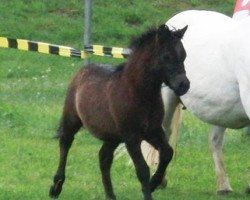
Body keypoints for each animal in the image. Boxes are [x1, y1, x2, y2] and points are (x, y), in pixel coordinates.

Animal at [142, 10, 250, 195]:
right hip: (167, 100)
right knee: (164, 133)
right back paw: (160, 180)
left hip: (219, 111)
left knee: (214, 142)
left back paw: (223, 187)